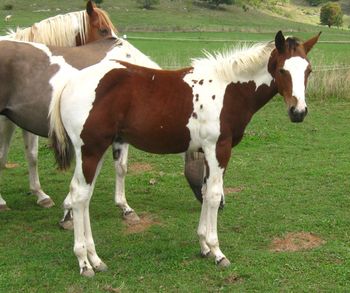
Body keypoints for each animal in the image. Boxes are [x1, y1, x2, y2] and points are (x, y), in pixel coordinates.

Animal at [0, 0, 117, 210]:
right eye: (103, 30)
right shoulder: (5, 121)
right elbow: (1, 156)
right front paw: (1, 201)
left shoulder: (23, 117)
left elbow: (32, 155)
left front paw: (40, 195)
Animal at [50, 32, 322, 276]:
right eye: (282, 70)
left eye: (308, 70)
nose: (298, 112)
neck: (229, 90)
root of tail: (69, 83)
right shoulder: (218, 149)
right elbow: (214, 195)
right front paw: (218, 252)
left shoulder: (207, 152)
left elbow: (205, 191)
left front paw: (204, 247)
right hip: (90, 150)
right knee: (80, 196)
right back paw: (84, 263)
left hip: (97, 150)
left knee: (82, 196)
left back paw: (95, 260)